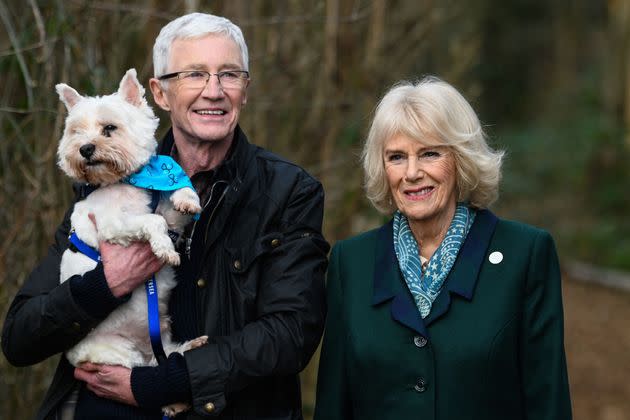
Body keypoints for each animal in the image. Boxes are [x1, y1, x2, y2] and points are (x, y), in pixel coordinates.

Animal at [55, 68, 205, 414]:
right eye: (76, 131)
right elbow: (153, 221)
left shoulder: (165, 207)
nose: (85, 149)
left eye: (109, 129)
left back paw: (193, 345)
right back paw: (174, 402)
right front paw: (164, 249)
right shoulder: (113, 225)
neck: (127, 180)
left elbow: (174, 201)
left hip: (161, 341)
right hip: (120, 356)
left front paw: (187, 199)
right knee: (148, 373)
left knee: (170, 357)